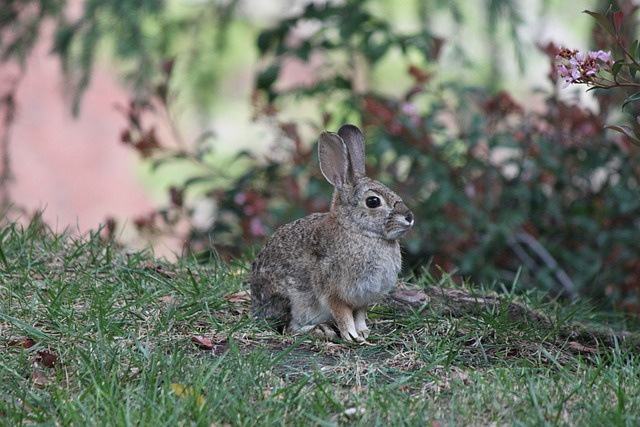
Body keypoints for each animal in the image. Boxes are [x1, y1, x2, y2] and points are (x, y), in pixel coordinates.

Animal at [250, 124, 416, 344]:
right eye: (373, 201)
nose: (409, 217)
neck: (359, 231)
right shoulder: (334, 293)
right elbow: (344, 315)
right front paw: (353, 337)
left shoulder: (363, 298)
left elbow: (359, 315)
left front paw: (364, 333)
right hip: (293, 301)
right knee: (288, 327)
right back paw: (320, 330)